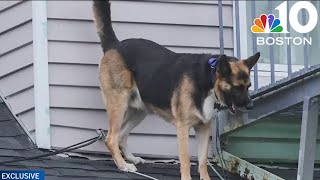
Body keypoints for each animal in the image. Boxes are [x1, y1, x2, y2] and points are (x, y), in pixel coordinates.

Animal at [91, 0, 258, 179]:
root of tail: (115, 45)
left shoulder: (203, 128)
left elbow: (202, 161)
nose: (251, 106)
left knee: (121, 135)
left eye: (248, 86)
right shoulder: (183, 128)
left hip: (139, 110)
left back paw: (131, 159)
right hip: (119, 105)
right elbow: (185, 159)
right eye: (237, 87)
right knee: (111, 138)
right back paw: (123, 165)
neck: (208, 79)